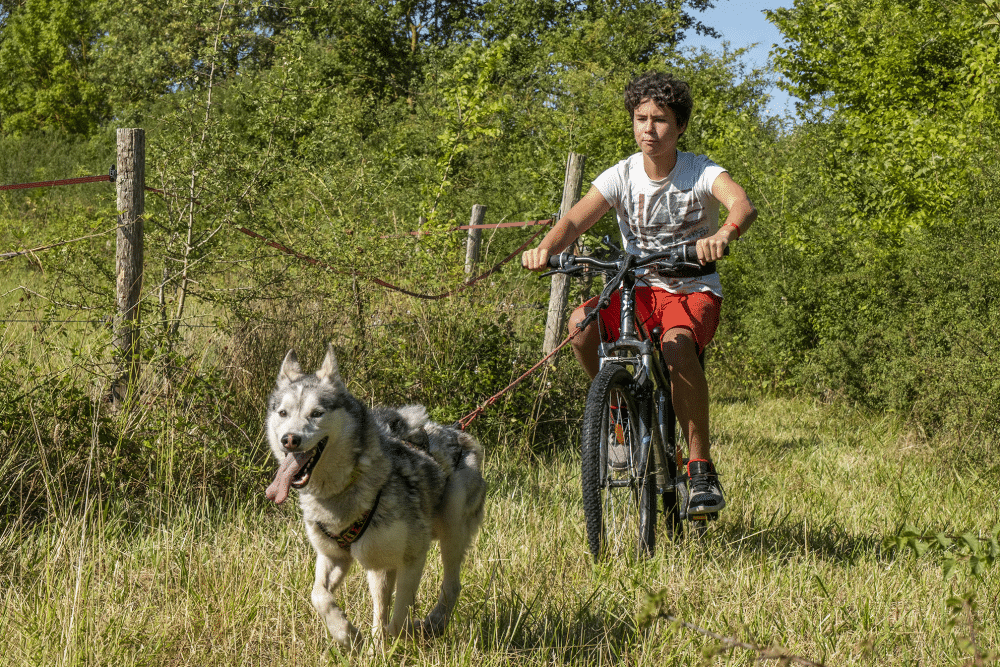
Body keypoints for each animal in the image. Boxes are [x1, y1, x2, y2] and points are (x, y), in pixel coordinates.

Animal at [264, 348, 486, 648]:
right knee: (382, 606)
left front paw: (394, 641)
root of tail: (459, 433)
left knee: (451, 586)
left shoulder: (413, 557)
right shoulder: (333, 557)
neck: (340, 492)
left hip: (450, 534)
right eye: (283, 413)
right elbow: (319, 596)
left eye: (317, 413)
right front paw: (347, 634)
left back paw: (432, 624)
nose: (290, 439)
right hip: (378, 563)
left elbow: (397, 619)